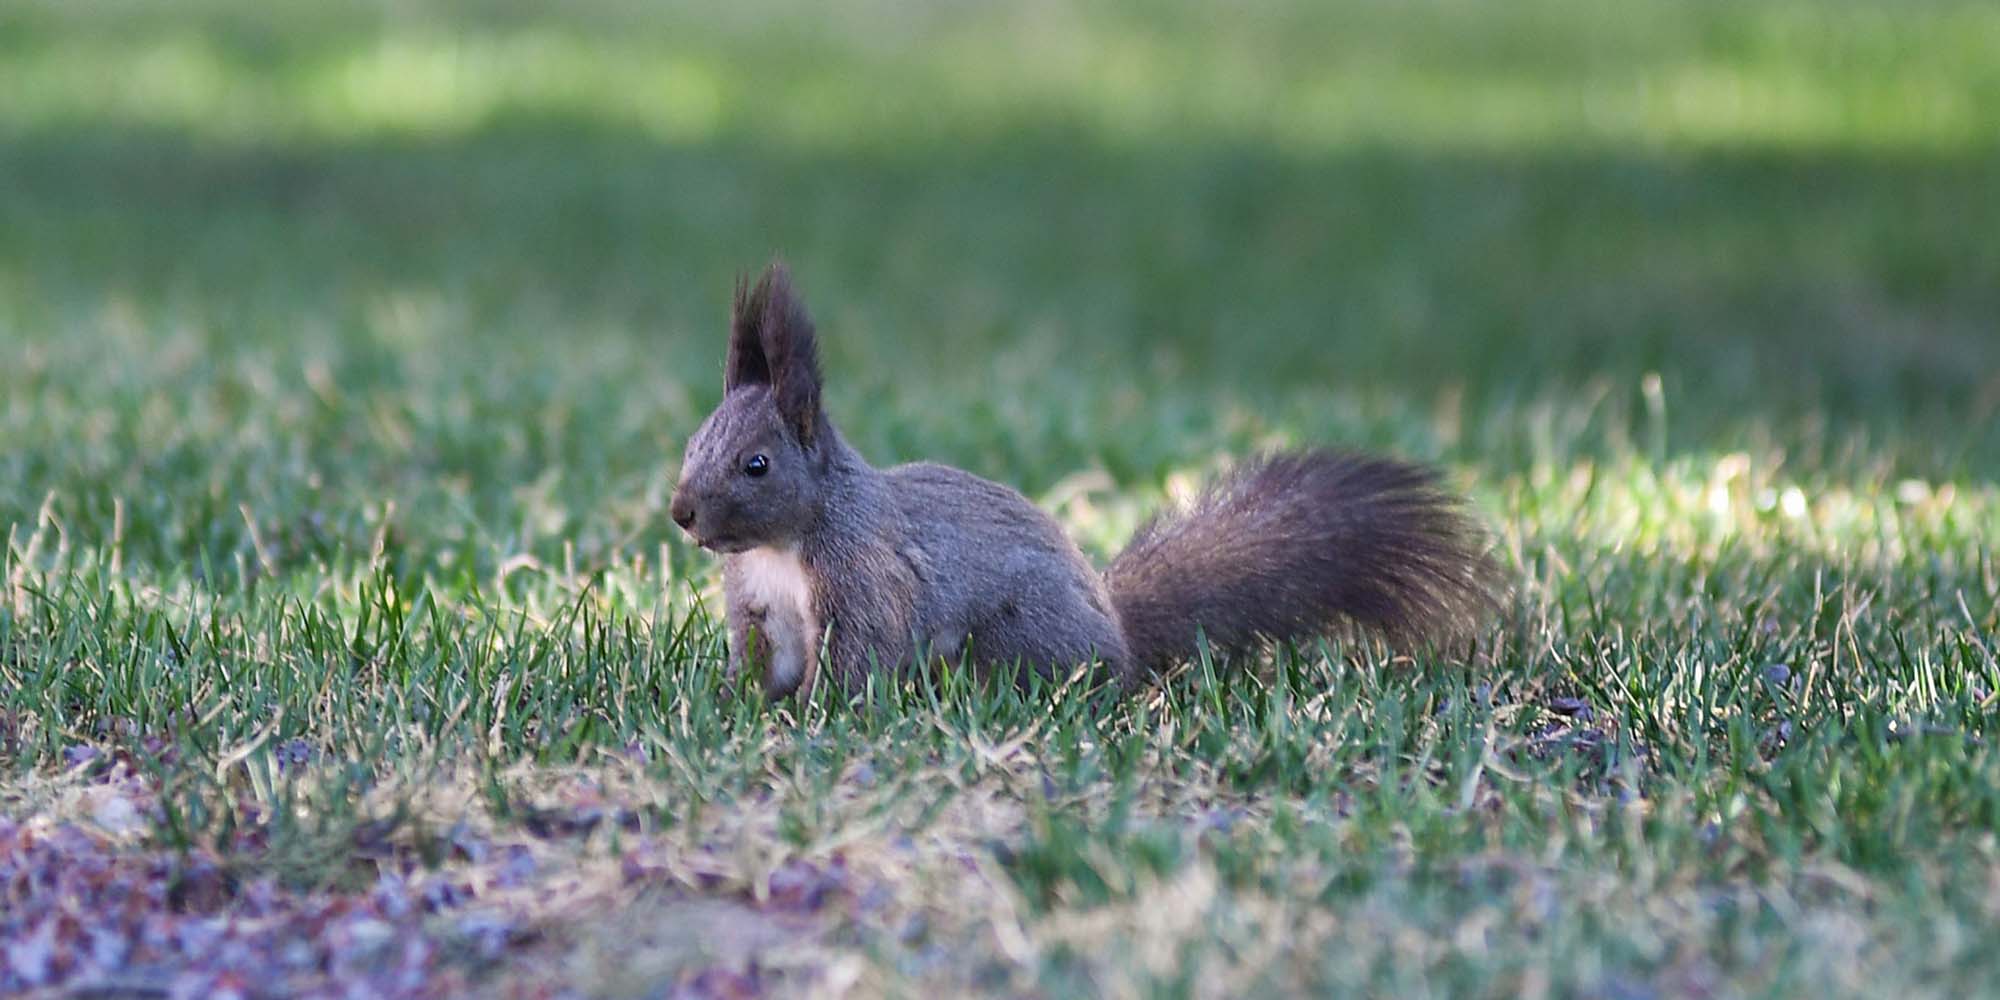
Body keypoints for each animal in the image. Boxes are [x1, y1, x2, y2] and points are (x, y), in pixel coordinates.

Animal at [672, 264, 1504, 696]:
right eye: (690, 444)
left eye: (756, 464)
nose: (681, 513)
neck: (786, 544)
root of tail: (1120, 637)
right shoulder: (763, 608)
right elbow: (764, 662)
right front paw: (734, 701)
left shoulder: (867, 578)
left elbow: (857, 660)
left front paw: (811, 715)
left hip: (1017, 631)